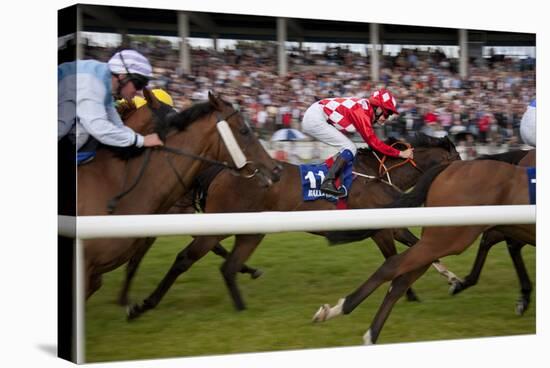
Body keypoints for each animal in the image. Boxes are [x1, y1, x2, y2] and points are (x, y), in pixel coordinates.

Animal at [126, 133, 466, 320]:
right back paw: (143, 305)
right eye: (459, 160)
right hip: (222, 226)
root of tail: (220, 170)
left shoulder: (388, 223)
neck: (378, 174)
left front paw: (453, 280)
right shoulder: (380, 228)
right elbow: (398, 256)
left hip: (251, 231)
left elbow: (418, 248)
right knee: (186, 258)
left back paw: (242, 308)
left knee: (229, 266)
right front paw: (413, 292)